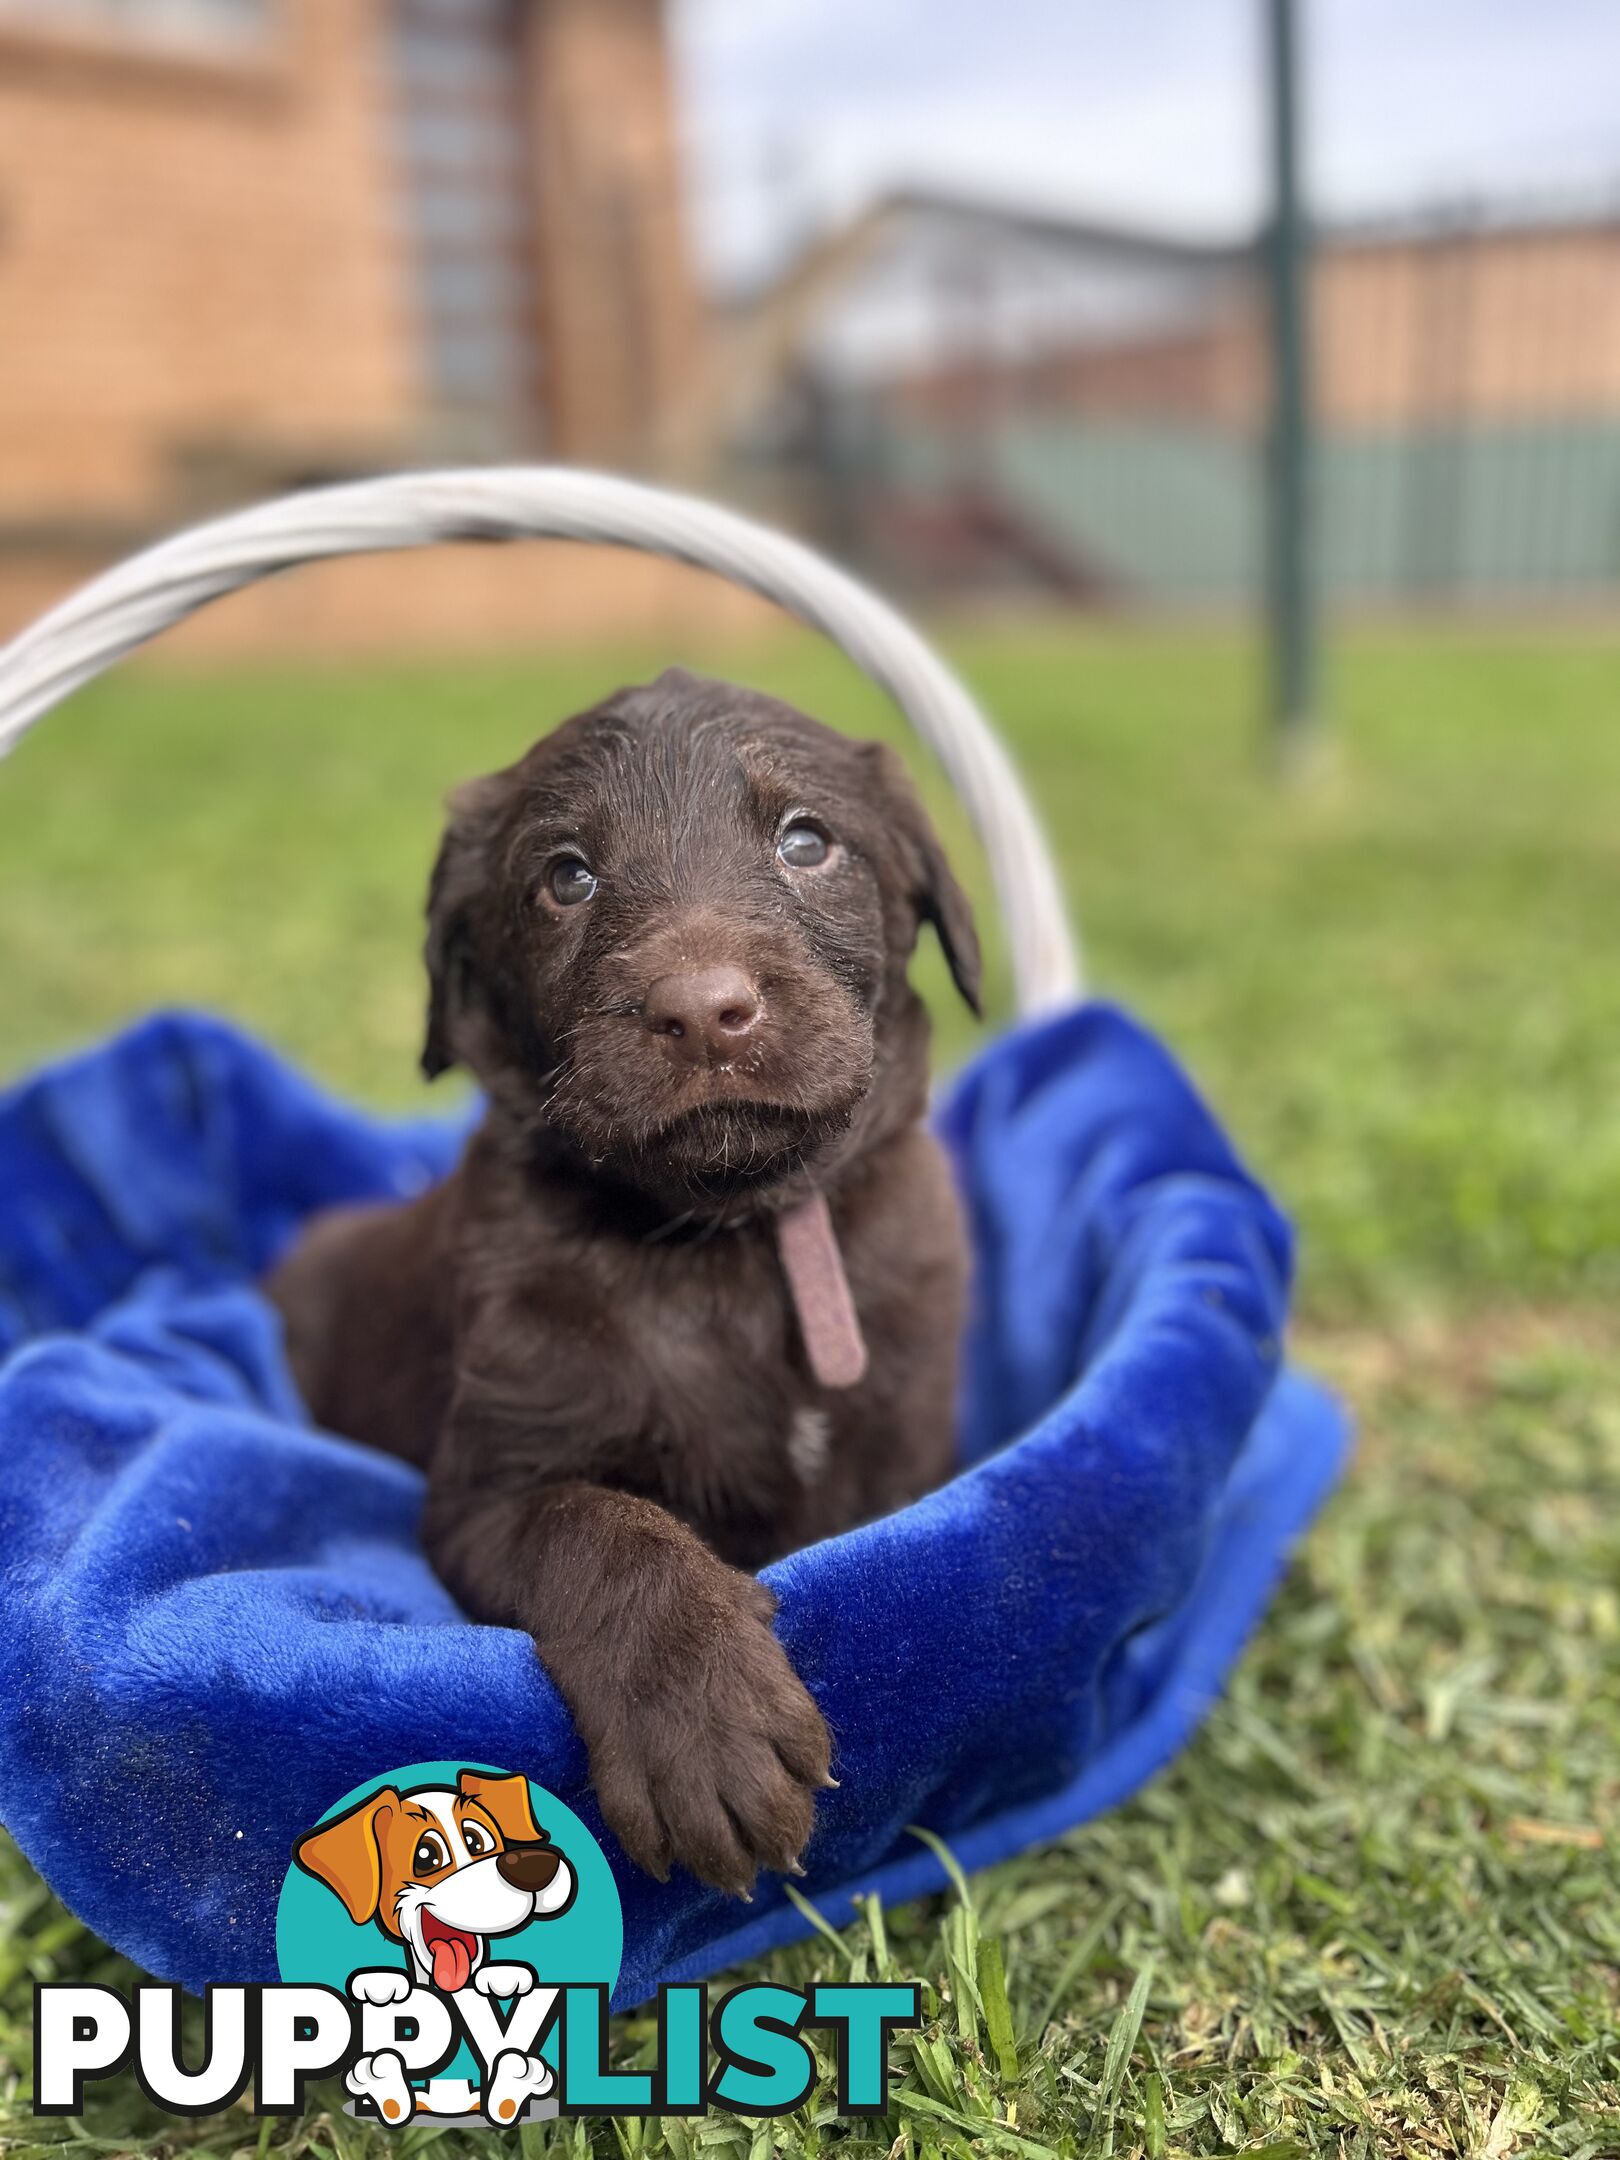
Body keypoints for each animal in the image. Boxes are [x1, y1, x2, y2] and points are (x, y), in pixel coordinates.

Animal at [270, 665, 976, 1900]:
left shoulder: (908, 1449)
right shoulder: (481, 1495)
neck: (729, 1242)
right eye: (566, 876)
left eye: (806, 841)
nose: (702, 1011)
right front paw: (705, 1727)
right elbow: (601, 1526)